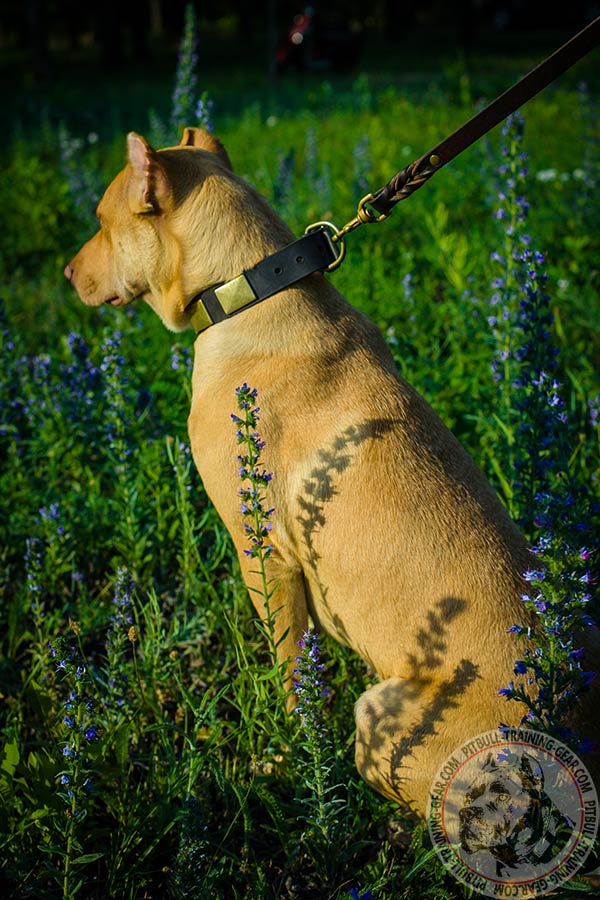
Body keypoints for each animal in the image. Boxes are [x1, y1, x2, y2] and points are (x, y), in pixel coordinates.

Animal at [63, 130, 596, 820]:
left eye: (103, 223)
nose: (68, 272)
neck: (251, 287)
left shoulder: (264, 555)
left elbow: (291, 673)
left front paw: (287, 754)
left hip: (383, 720)